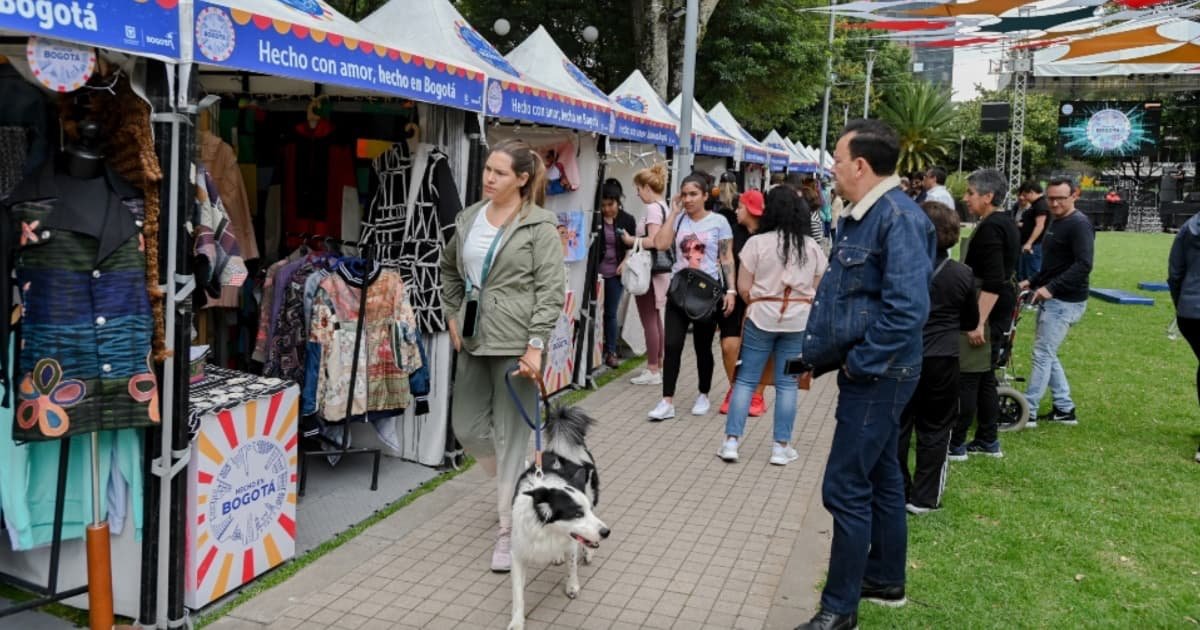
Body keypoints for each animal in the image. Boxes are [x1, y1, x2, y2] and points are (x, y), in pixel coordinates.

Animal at [511, 405, 614, 624]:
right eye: (576, 513)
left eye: (585, 511)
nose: (607, 532)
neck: (548, 531)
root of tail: (561, 449)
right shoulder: (517, 553)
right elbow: (517, 594)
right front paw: (516, 622)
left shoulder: (572, 539)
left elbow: (572, 565)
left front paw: (572, 586)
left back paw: (588, 552)